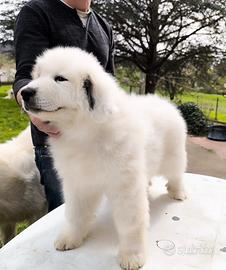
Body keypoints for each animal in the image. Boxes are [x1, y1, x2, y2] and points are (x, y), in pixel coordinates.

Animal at [20, 47, 187, 270]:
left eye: (60, 79)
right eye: (37, 76)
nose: (25, 92)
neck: (84, 131)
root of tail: (163, 101)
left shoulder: (125, 186)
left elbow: (131, 224)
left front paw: (132, 255)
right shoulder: (78, 183)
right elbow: (76, 214)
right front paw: (71, 238)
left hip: (173, 155)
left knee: (176, 174)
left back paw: (178, 192)